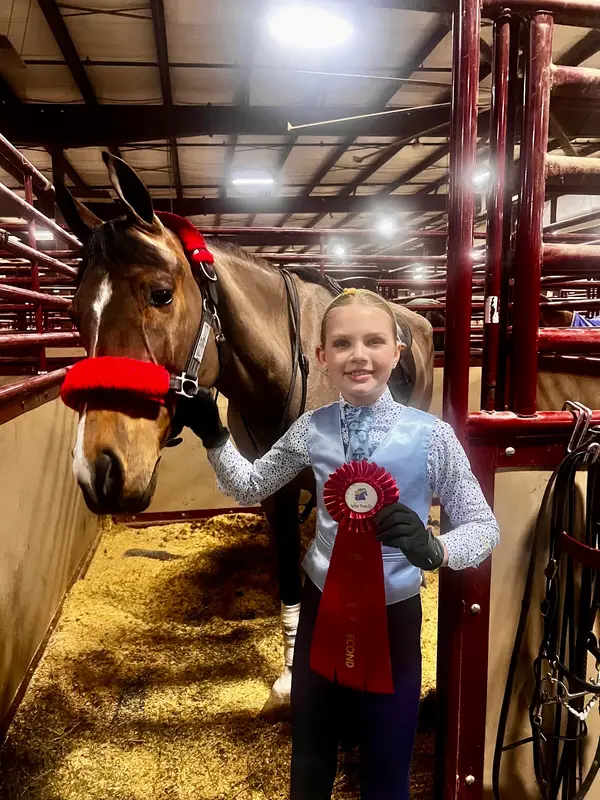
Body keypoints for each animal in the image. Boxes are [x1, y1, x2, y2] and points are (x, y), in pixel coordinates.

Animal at [56, 153, 435, 716]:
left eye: (161, 294)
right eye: (75, 312)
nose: (98, 467)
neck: (288, 368)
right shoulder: (275, 489)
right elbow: (289, 579)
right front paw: (290, 675)